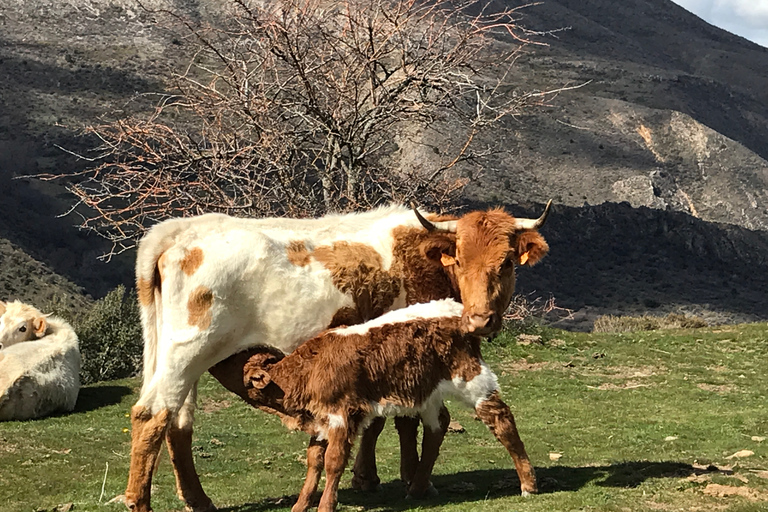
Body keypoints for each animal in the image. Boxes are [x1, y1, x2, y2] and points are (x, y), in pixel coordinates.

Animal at [124, 202, 552, 510]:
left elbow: (383, 422)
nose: (480, 319)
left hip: (177, 355)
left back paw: (198, 501)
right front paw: (403, 477)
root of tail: (182, 230)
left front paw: (372, 477)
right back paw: (140, 501)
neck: (420, 255)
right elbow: (403, 421)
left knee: (179, 423)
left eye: (506, 263)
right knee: (153, 415)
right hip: (189, 351)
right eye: (460, 260)